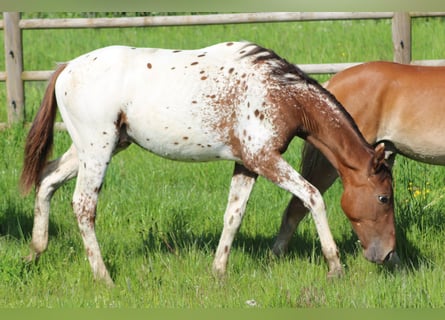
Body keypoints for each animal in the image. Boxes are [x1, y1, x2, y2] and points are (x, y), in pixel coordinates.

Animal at [20, 42, 396, 284]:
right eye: (384, 198)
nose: (389, 255)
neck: (283, 93)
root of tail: (67, 68)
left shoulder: (247, 164)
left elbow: (233, 215)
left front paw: (218, 270)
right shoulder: (264, 159)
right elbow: (313, 197)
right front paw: (335, 267)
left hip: (92, 149)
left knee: (47, 179)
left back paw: (35, 252)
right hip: (98, 150)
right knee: (83, 206)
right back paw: (103, 277)